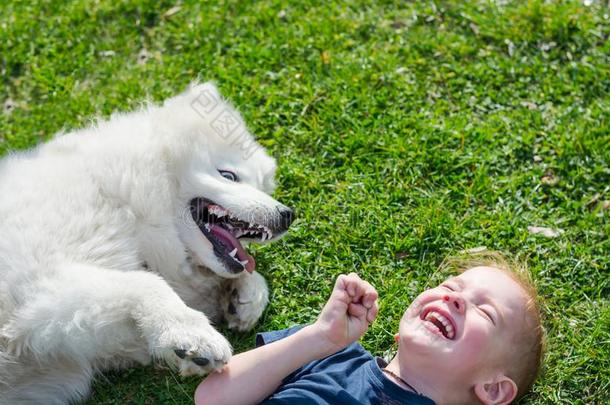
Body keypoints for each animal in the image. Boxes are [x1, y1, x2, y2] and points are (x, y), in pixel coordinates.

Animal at [0, 81, 294, 400]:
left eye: (262, 186)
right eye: (229, 175)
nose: (287, 215)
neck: (122, 201)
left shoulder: (60, 337)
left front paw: (244, 294)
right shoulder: (32, 287)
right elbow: (145, 282)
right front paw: (190, 333)